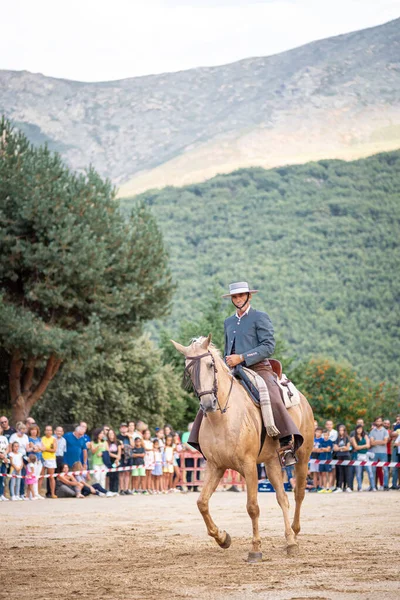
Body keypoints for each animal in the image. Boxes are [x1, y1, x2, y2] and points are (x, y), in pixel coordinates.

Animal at [172, 336, 316, 560]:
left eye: (210, 364)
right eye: (188, 369)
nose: (208, 403)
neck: (222, 418)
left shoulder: (249, 467)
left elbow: (252, 507)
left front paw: (255, 549)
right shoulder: (216, 466)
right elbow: (202, 503)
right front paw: (222, 538)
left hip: (303, 456)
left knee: (298, 494)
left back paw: (294, 533)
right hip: (271, 462)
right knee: (282, 498)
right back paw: (290, 539)